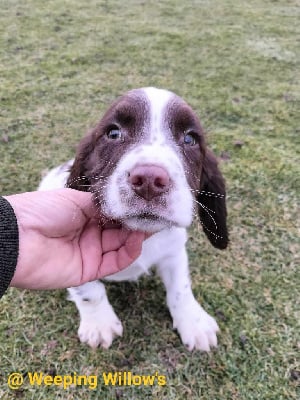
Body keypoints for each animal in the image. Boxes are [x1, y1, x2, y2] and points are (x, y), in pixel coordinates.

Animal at [39, 86, 227, 350]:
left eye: (190, 139)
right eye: (113, 133)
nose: (149, 180)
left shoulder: (174, 251)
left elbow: (180, 287)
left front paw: (194, 321)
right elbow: (89, 291)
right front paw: (99, 324)